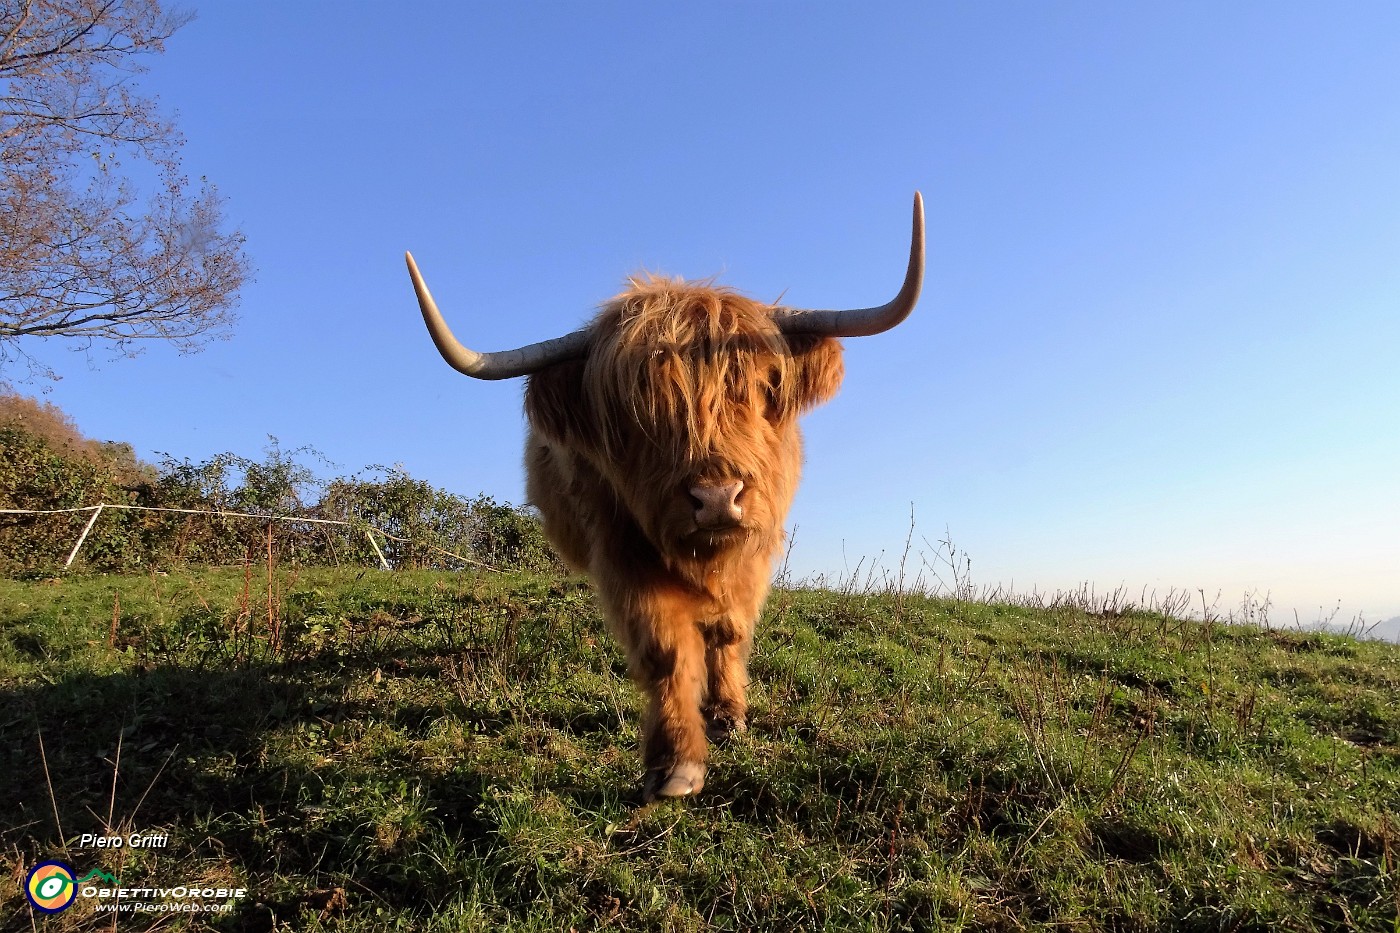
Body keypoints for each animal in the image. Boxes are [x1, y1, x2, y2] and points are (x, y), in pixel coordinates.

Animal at [406, 191, 924, 795]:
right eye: (635, 414)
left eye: (758, 387)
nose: (718, 498)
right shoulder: (620, 552)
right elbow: (665, 651)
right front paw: (677, 763)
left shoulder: (758, 544)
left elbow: (729, 630)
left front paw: (728, 717)